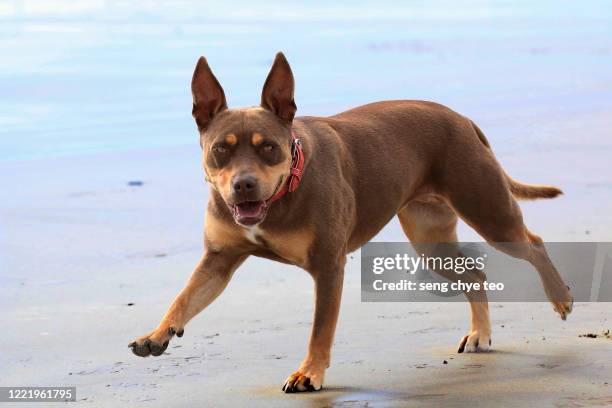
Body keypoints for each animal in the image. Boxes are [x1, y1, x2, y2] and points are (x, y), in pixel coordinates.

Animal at [129, 51, 572, 392]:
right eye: (221, 149)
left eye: (268, 148)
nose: (244, 185)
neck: (286, 190)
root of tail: (460, 118)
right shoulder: (218, 260)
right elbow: (184, 297)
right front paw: (157, 334)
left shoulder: (328, 267)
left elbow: (320, 328)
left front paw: (309, 373)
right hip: (431, 242)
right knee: (474, 272)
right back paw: (481, 333)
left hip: (489, 213)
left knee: (532, 243)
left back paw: (560, 296)